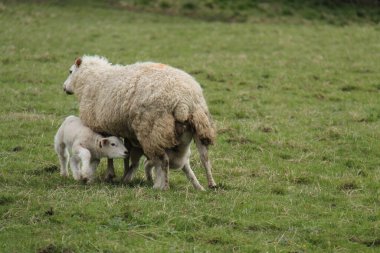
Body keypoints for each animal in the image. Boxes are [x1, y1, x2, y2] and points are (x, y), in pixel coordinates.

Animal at [62, 55, 217, 190]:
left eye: (70, 71)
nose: (64, 88)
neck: (90, 79)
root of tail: (184, 100)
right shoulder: (125, 131)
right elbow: (126, 152)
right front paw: (124, 173)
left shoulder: (102, 126)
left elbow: (109, 152)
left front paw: (111, 174)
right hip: (200, 125)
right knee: (205, 157)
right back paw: (211, 184)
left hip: (153, 130)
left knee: (164, 160)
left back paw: (164, 186)